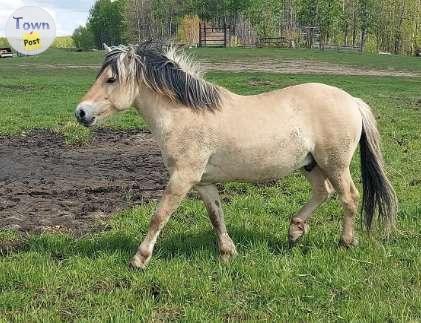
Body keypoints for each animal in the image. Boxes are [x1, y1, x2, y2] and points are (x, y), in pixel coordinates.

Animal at [74, 43, 396, 270]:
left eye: (111, 79)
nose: (81, 112)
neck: (184, 115)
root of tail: (352, 101)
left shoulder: (182, 178)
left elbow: (159, 216)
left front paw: (139, 259)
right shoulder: (203, 182)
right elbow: (216, 216)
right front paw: (228, 253)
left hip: (335, 163)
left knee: (349, 197)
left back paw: (345, 243)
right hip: (311, 164)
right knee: (323, 192)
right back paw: (294, 231)